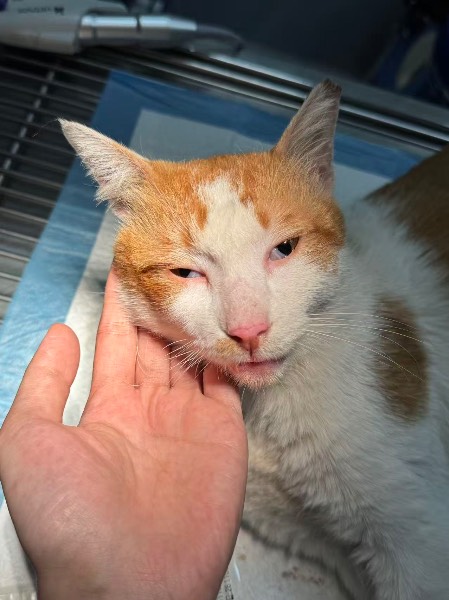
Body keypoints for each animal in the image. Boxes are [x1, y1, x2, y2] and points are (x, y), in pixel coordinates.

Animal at [60, 80, 449, 600]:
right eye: (185, 273)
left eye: (284, 249)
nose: (248, 330)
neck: (265, 413)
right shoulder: (302, 525)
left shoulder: (419, 544)